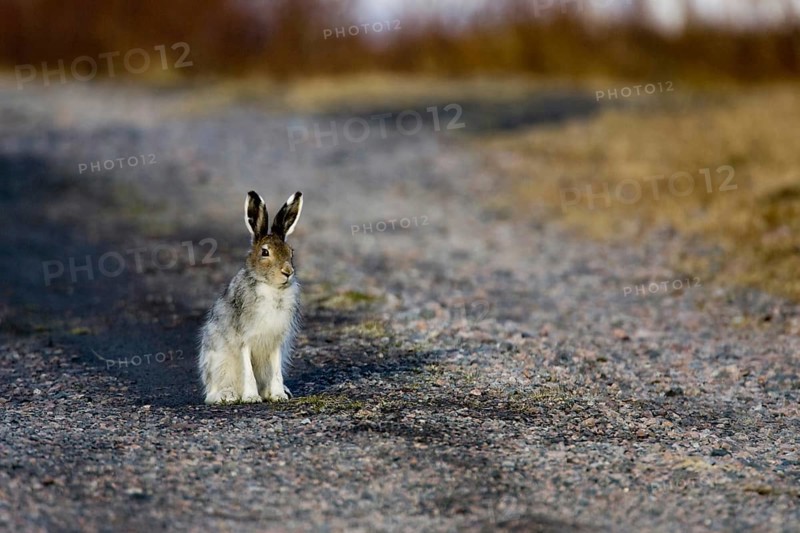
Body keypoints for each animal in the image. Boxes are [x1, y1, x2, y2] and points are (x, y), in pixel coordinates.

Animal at [198, 190, 304, 404]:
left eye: (291, 252)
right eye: (265, 252)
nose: (287, 272)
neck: (271, 287)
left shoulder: (276, 342)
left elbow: (277, 372)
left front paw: (279, 396)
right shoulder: (244, 340)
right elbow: (248, 371)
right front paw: (251, 398)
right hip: (218, 363)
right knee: (212, 393)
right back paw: (227, 396)